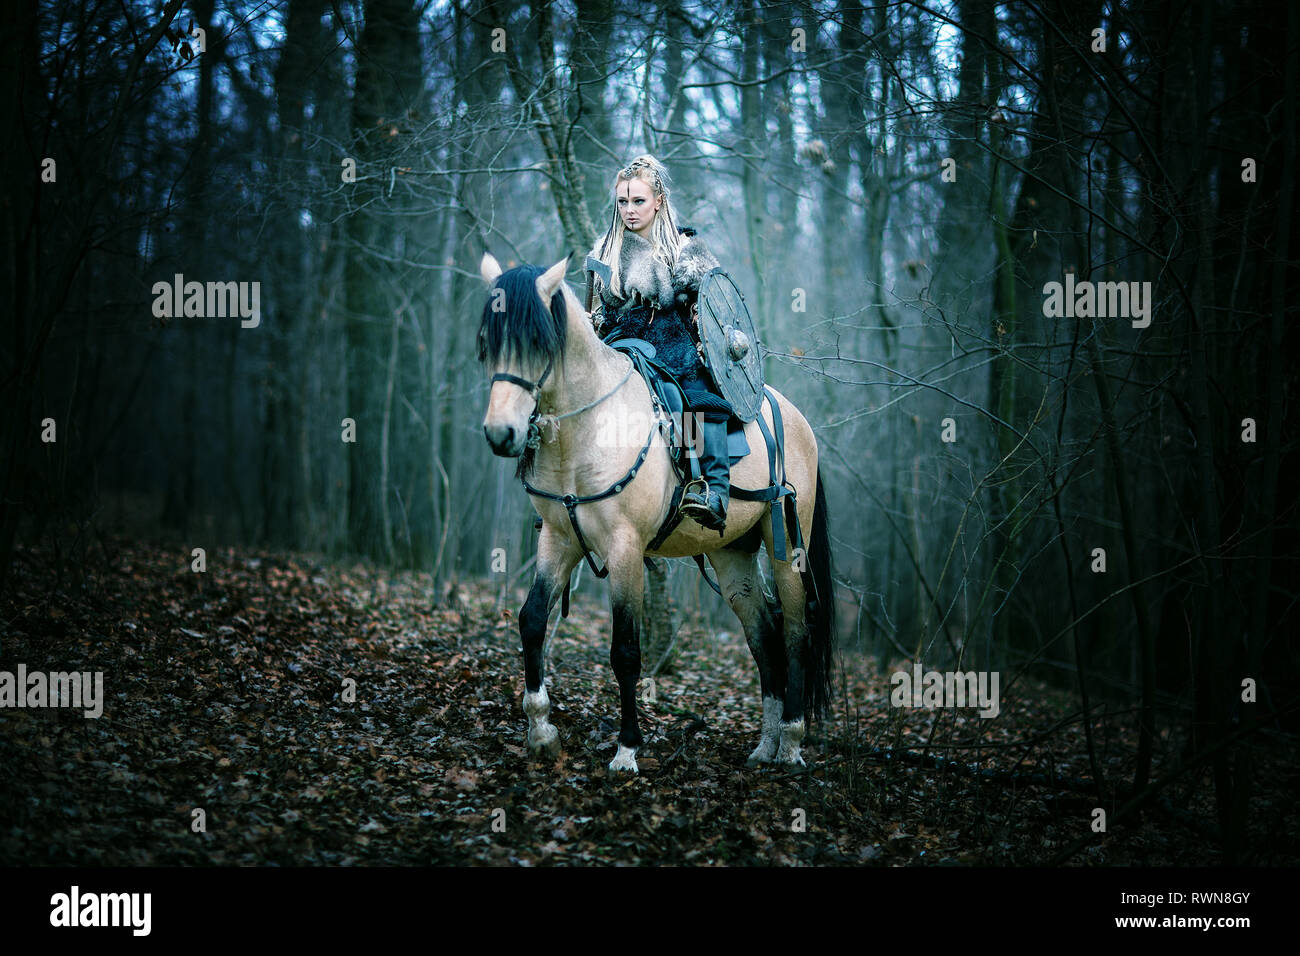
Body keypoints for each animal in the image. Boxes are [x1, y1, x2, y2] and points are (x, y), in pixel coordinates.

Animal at [478, 251, 832, 775]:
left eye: (538, 343)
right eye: (488, 343)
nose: (501, 433)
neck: (587, 431)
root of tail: (793, 416)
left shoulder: (625, 549)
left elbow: (626, 650)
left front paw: (626, 750)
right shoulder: (558, 540)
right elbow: (533, 620)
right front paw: (541, 731)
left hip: (788, 545)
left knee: (794, 631)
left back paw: (789, 742)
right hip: (733, 554)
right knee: (763, 632)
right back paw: (765, 745)